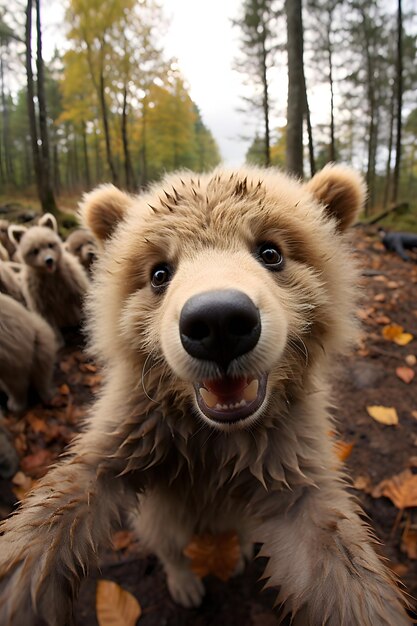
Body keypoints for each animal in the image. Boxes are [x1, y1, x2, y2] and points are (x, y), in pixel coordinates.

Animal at [0, 163, 412, 620]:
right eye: (159, 273)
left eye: (271, 253)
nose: (218, 321)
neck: (215, 440)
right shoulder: (133, 430)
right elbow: (57, 513)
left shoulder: (290, 454)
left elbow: (334, 556)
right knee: (169, 542)